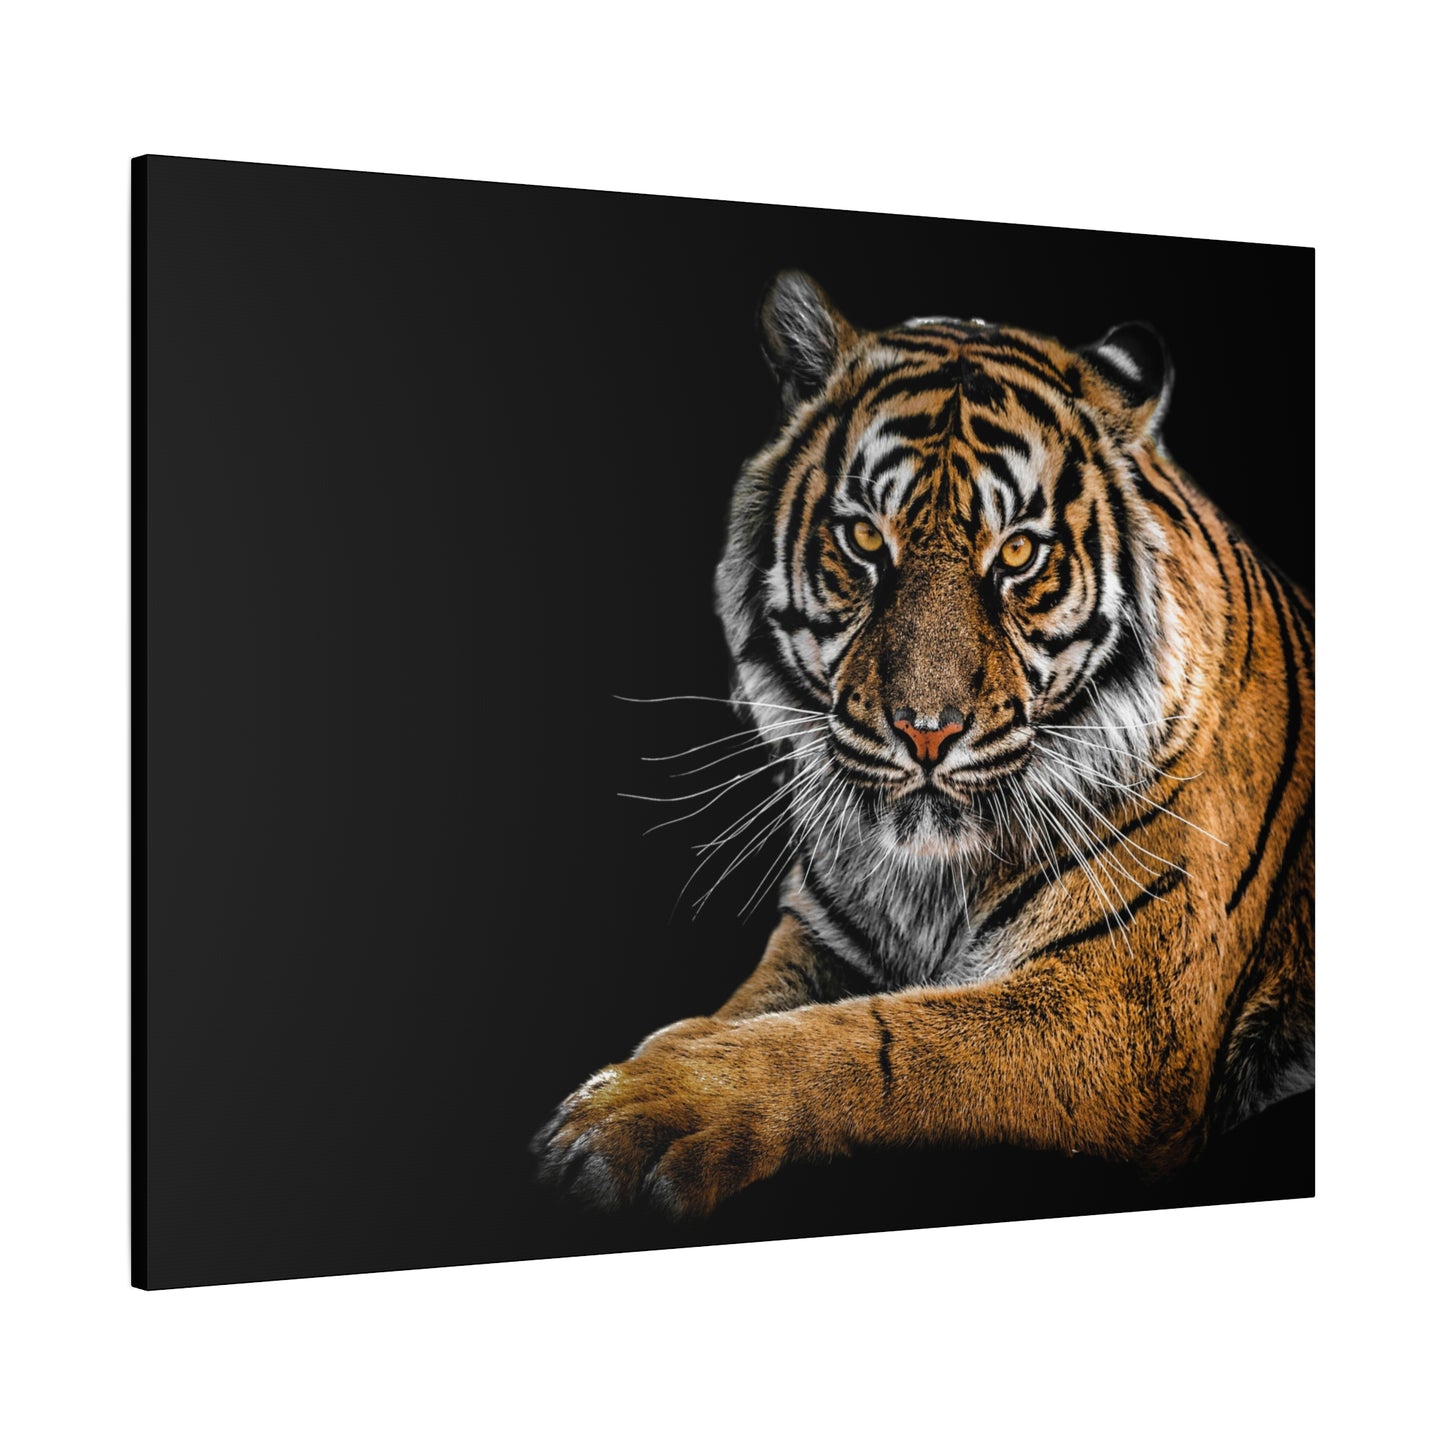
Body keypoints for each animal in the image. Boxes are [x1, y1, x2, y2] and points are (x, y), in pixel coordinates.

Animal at [533, 270, 1314, 1218]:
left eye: (1017, 553)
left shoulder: (1119, 1008)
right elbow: (753, 1010)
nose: (925, 731)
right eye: (866, 538)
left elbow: (875, 1041)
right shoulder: (821, 939)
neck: (927, 880)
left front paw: (644, 1106)